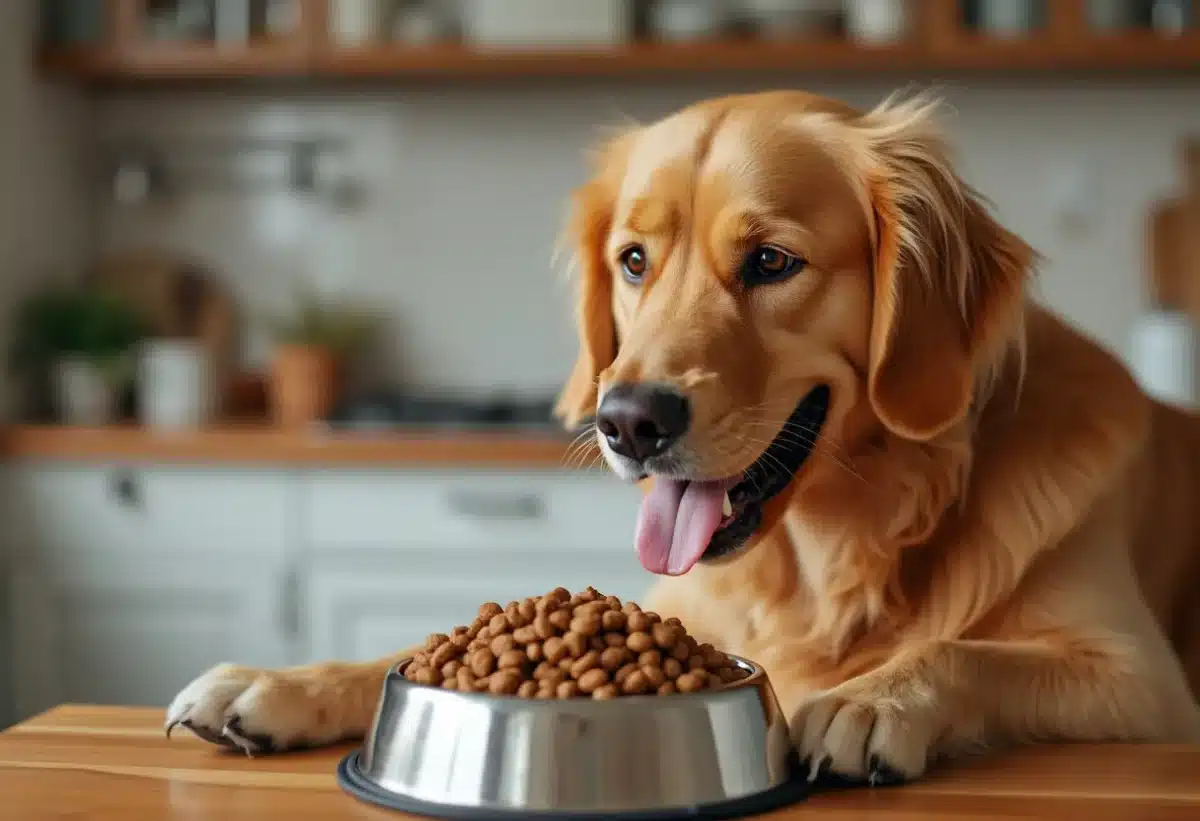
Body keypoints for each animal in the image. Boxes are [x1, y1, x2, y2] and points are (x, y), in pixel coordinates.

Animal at [162, 91, 1200, 782]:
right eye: (633, 260)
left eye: (772, 261)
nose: (625, 421)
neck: (839, 552)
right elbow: (404, 645)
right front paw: (276, 683)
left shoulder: (1146, 686)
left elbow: (966, 650)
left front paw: (871, 698)